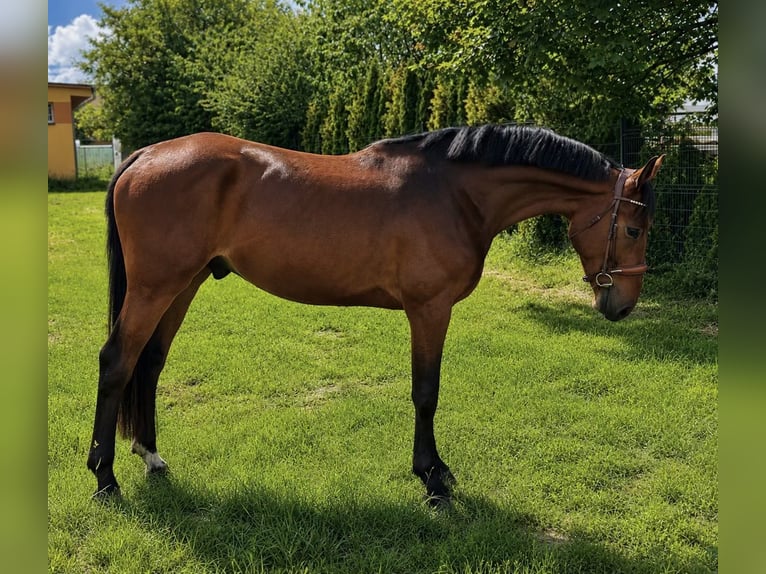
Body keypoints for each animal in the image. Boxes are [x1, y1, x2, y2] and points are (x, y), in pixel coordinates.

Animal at [87, 124, 664, 504]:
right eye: (634, 228)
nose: (622, 305)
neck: (454, 192)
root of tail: (145, 154)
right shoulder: (429, 309)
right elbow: (426, 393)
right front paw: (433, 479)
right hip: (156, 286)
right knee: (117, 362)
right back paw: (105, 478)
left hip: (183, 284)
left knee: (149, 363)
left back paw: (151, 456)